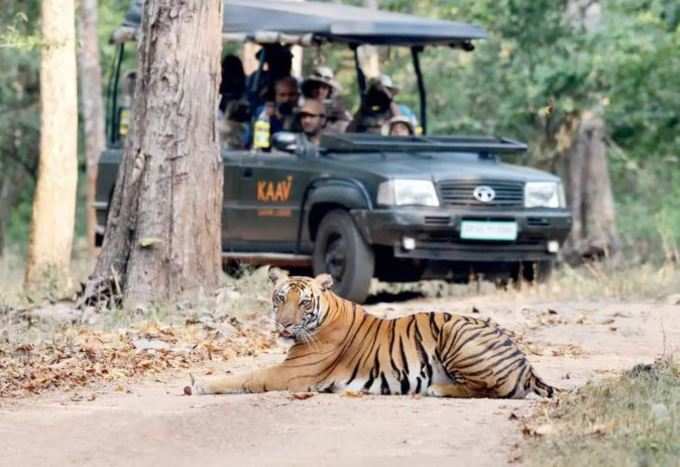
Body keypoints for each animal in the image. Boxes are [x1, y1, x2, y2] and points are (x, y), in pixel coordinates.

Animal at [190, 270, 556, 398]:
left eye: (303, 302)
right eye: (280, 299)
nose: (284, 326)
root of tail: (526, 365)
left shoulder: (291, 373)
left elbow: (246, 376)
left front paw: (199, 383)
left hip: (458, 332)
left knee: (493, 390)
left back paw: (437, 389)